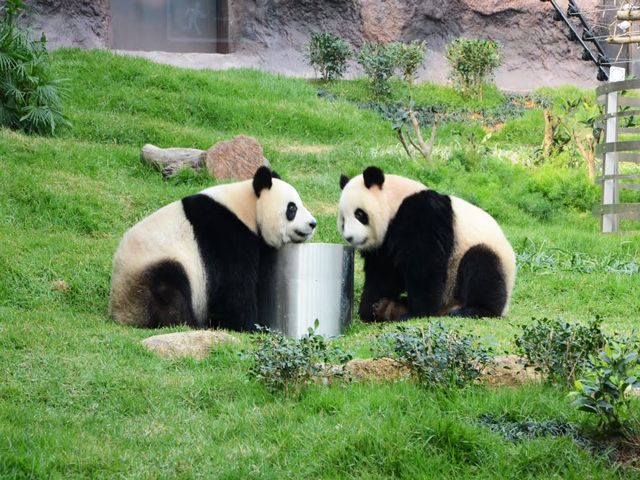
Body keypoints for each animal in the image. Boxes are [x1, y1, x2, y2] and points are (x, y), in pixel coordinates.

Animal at [109, 168, 316, 330]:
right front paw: (249, 326)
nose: (312, 224)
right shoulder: (225, 233)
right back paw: (189, 324)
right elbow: (233, 287)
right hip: (148, 273)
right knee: (169, 288)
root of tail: (121, 314)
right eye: (292, 208)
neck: (247, 207)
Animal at [338, 167, 516, 320]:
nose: (350, 237)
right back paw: (388, 308)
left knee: (482, 265)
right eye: (343, 220)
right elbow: (382, 272)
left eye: (359, 214)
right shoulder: (383, 245)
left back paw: (474, 310)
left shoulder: (422, 214)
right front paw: (369, 309)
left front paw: (418, 311)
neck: (395, 201)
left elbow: (424, 263)